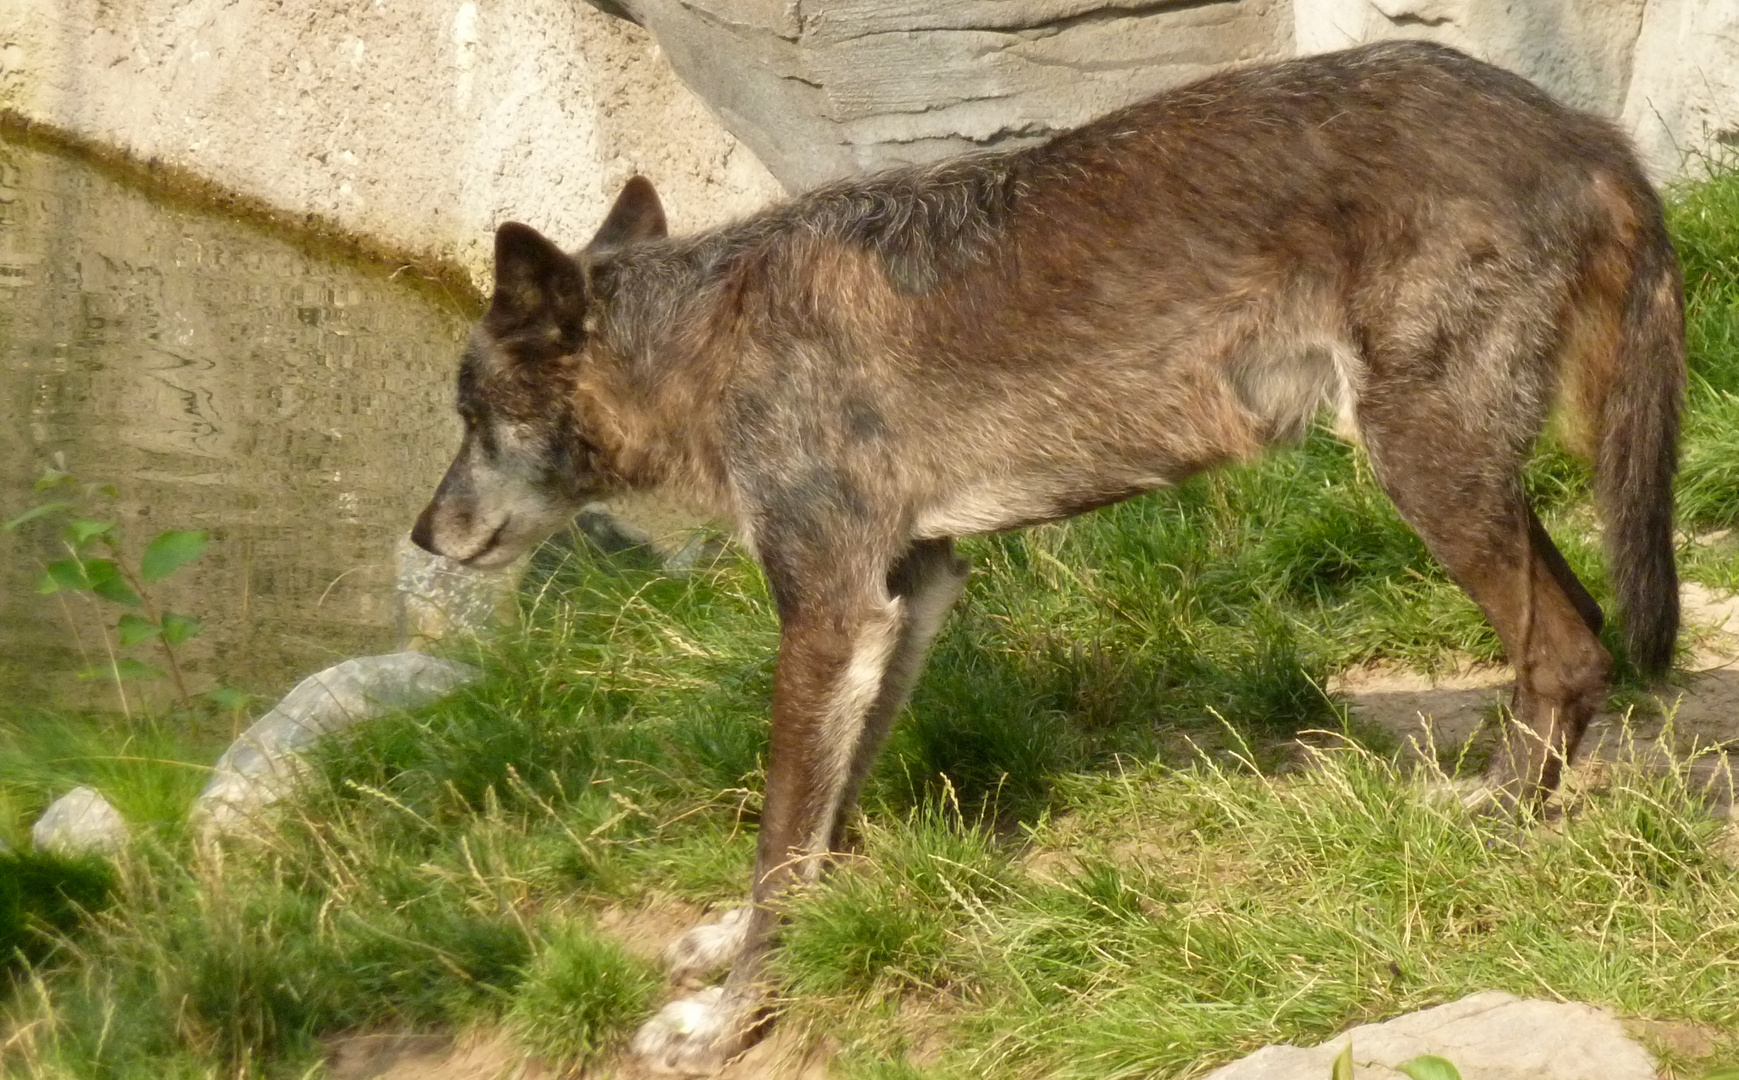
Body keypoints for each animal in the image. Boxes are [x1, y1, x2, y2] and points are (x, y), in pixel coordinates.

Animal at [410, 40, 1683, 1071]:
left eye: (472, 417)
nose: (423, 532)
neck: (708, 336)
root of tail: (1582, 131)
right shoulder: (904, 596)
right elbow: (826, 813)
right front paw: (756, 942)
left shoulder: (827, 611)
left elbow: (778, 833)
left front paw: (728, 1022)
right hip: (1465, 478)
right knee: (1578, 638)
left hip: (1422, 472)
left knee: (1565, 650)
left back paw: (1490, 830)